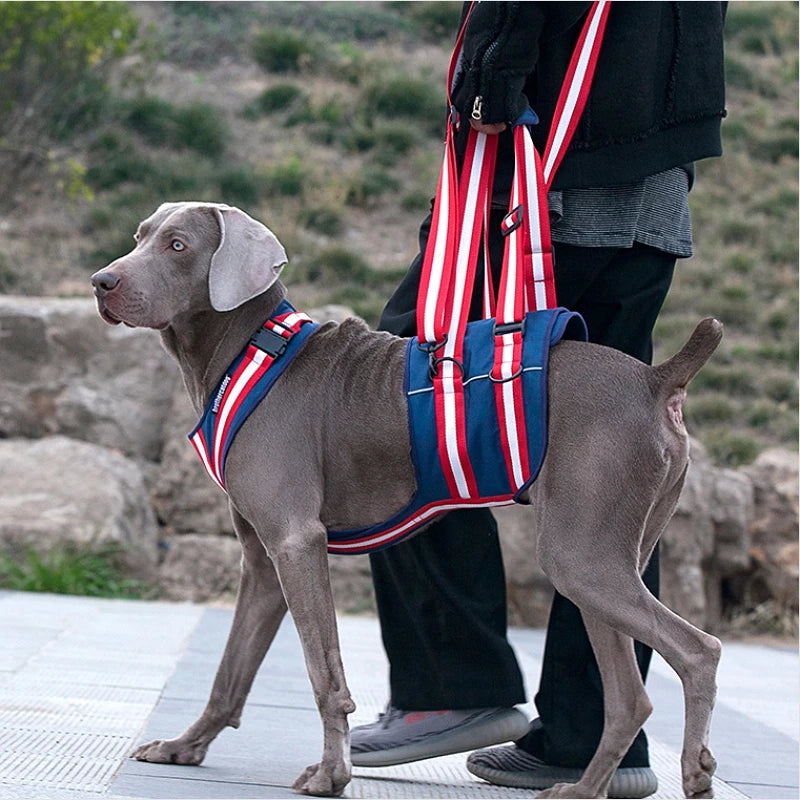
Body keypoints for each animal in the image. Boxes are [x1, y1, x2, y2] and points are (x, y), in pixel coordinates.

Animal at [90, 203, 720, 796]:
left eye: (178, 245)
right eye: (140, 236)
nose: (101, 281)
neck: (248, 350)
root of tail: (656, 380)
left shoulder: (297, 542)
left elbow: (326, 675)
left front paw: (331, 774)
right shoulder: (263, 563)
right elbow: (229, 671)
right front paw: (184, 746)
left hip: (581, 555)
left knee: (699, 650)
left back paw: (694, 771)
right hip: (607, 560)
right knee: (631, 696)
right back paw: (582, 788)